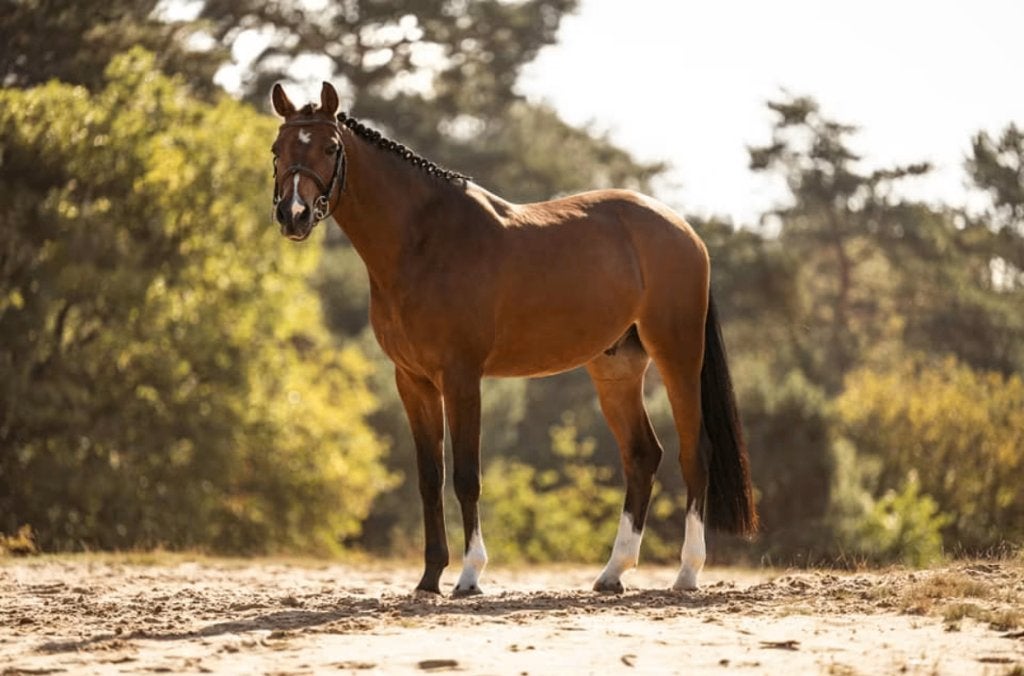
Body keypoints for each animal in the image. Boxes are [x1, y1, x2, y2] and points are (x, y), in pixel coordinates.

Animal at [269, 82, 757, 596]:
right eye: (278, 149)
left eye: (330, 147)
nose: (294, 215)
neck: (424, 241)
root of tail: (684, 230)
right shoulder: (413, 381)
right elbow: (429, 477)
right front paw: (429, 578)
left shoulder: (461, 377)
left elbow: (466, 476)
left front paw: (469, 576)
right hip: (616, 368)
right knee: (643, 455)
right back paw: (612, 572)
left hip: (677, 355)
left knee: (694, 453)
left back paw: (687, 573)